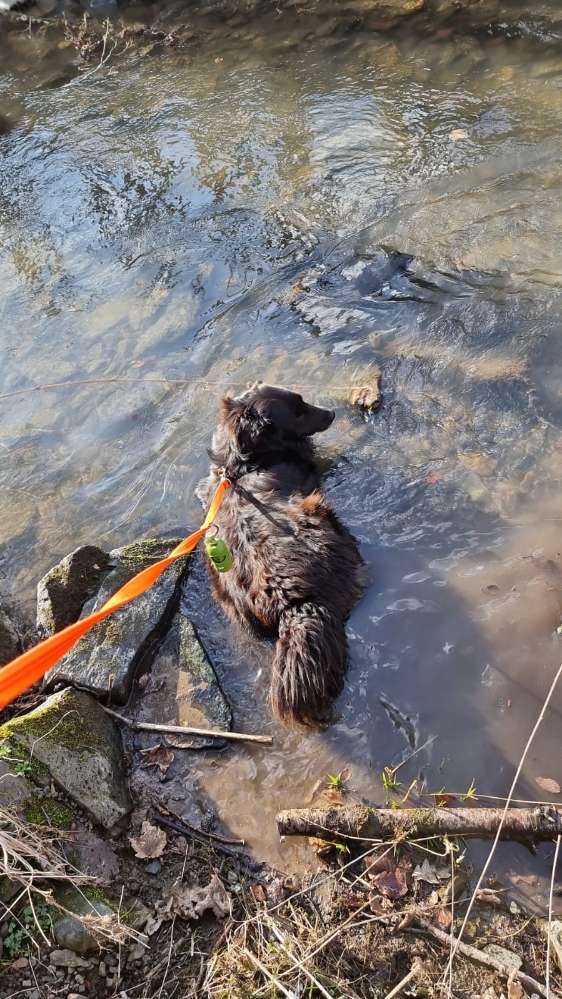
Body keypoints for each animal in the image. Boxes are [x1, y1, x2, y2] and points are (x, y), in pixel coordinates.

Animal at [197, 384, 364, 728]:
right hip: (320, 512)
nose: (332, 413)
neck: (241, 464)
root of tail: (293, 604)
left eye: (302, 400)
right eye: (297, 412)